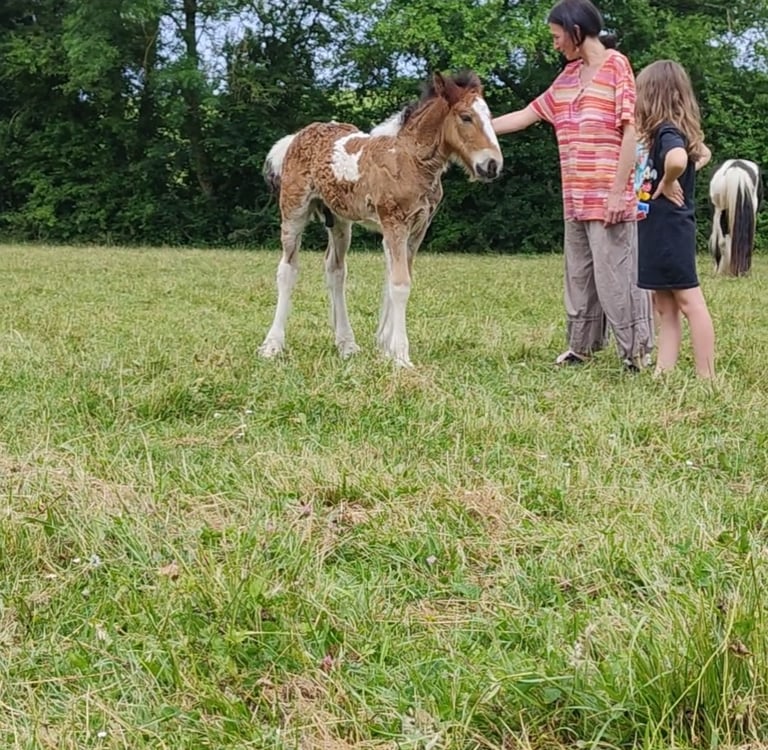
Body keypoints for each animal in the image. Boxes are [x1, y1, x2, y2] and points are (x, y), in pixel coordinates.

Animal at [259, 70, 503, 368]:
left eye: (490, 117)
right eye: (466, 117)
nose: (492, 165)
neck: (409, 159)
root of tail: (295, 137)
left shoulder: (418, 228)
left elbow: (395, 280)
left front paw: (385, 348)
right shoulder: (394, 222)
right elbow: (400, 284)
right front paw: (400, 356)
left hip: (340, 221)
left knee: (335, 271)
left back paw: (346, 344)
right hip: (294, 210)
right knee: (287, 270)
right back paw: (272, 345)